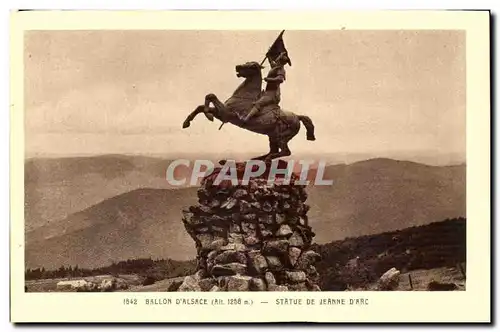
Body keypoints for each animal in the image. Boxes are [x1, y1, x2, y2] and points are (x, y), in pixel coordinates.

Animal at [183, 63, 316, 161]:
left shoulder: (226, 115)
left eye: (252, 66)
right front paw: (187, 122)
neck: (245, 96)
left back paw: (267, 159)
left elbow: (210, 96)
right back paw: (260, 158)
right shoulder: (222, 113)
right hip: (272, 136)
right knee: (274, 150)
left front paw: (208, 115)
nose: (237, 67)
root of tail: (297, 117)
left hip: (281, 137)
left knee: (285, 152)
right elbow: (201, 106)